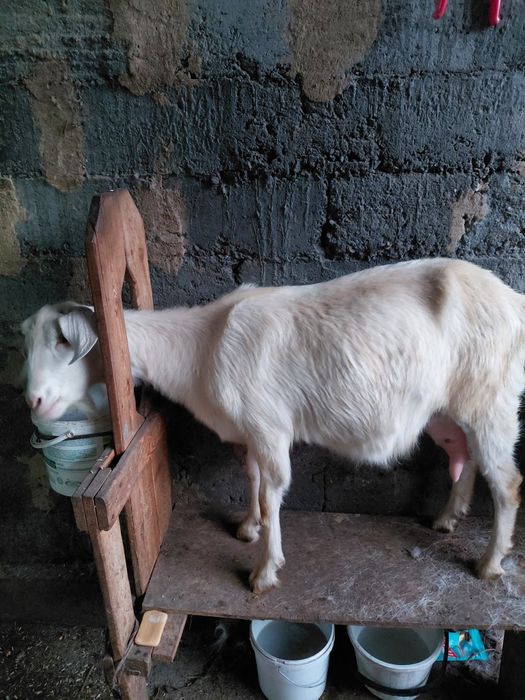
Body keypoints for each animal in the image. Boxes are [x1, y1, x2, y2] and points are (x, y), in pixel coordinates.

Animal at [21, 258, 524, 593]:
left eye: (63, 341)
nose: (34, 400)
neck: (204, 345)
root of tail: (514, 301)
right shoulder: (250, 431)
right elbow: (253, 477)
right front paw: (249, 526)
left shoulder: (269, 425)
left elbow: (273, 488)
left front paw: (264, 571)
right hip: (454, 410)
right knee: (467, 456)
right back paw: (446, 519)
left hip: (493, 403)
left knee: (507, 483)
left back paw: (490, 562)